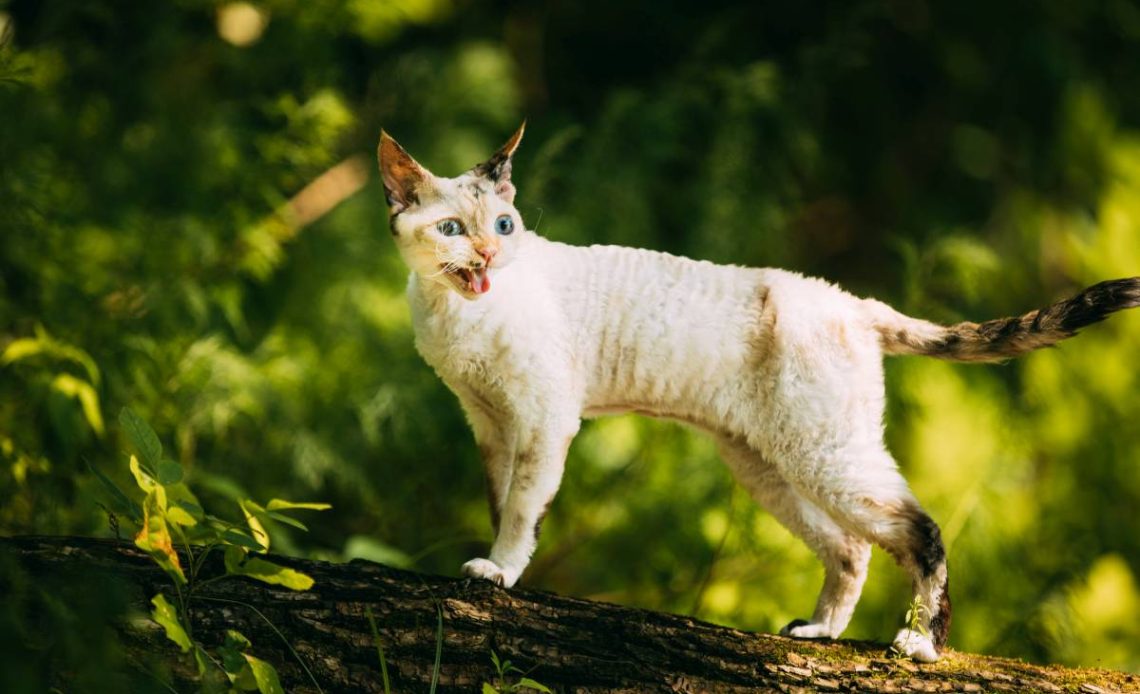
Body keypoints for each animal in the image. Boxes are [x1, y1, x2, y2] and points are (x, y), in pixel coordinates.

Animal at [376, 123, 1140, 660]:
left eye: (505, 226)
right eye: (453, 229)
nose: (491, 255)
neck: (454, 315)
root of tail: (855, 302)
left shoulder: (543, 420)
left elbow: (522, 513)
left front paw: (499, 573)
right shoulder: (489, 424)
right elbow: (501, 501)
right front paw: (492, 565)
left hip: (824, 457)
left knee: (918, 530)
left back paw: (921, 644)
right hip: (768, 464)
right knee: (851, 548)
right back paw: (820, 633)